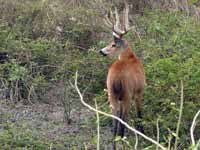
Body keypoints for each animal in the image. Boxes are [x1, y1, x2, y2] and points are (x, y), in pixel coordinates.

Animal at [99, 0, 145, 149]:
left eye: (113, 44)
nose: (101, 51)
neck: (130, 57)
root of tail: (116, 79)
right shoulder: (139, 91)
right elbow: (139, 114)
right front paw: (143, 133)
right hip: (126, 93)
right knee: (123, 123)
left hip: (111, 94)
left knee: (115, 124)